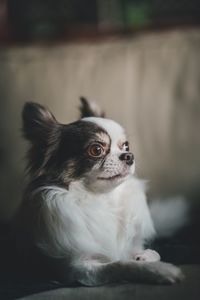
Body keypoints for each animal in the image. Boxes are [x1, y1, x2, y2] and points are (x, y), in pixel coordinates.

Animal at [18, 97, 184, 284]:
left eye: (126, 146)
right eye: (96, 150)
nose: (129, 156)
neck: (103, 200)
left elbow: (155, 253)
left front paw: (144, 256)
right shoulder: (78, 268)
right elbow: (119, 265)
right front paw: (161, 270)